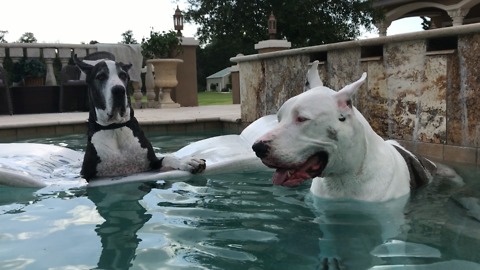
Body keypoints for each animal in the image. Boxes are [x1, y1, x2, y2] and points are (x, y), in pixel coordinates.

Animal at [74, 54, 205, 181]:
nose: (119, 90)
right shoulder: (85, 173)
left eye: (123, 75)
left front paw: (187, 161)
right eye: (101, 76)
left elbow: (167, 158)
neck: (115, 127)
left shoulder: (153, 163)